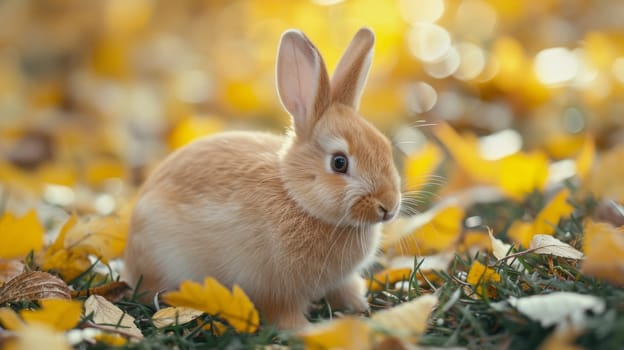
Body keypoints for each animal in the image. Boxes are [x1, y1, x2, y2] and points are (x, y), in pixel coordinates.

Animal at [123, 26, 400, 328]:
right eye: (339, 163)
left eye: (385, 146)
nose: (389, 206)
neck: (298, 199)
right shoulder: (277, 290)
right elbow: (284, 313)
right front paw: (304, 330)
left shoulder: (340, 281)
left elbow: (346, 290)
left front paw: (361, 308)